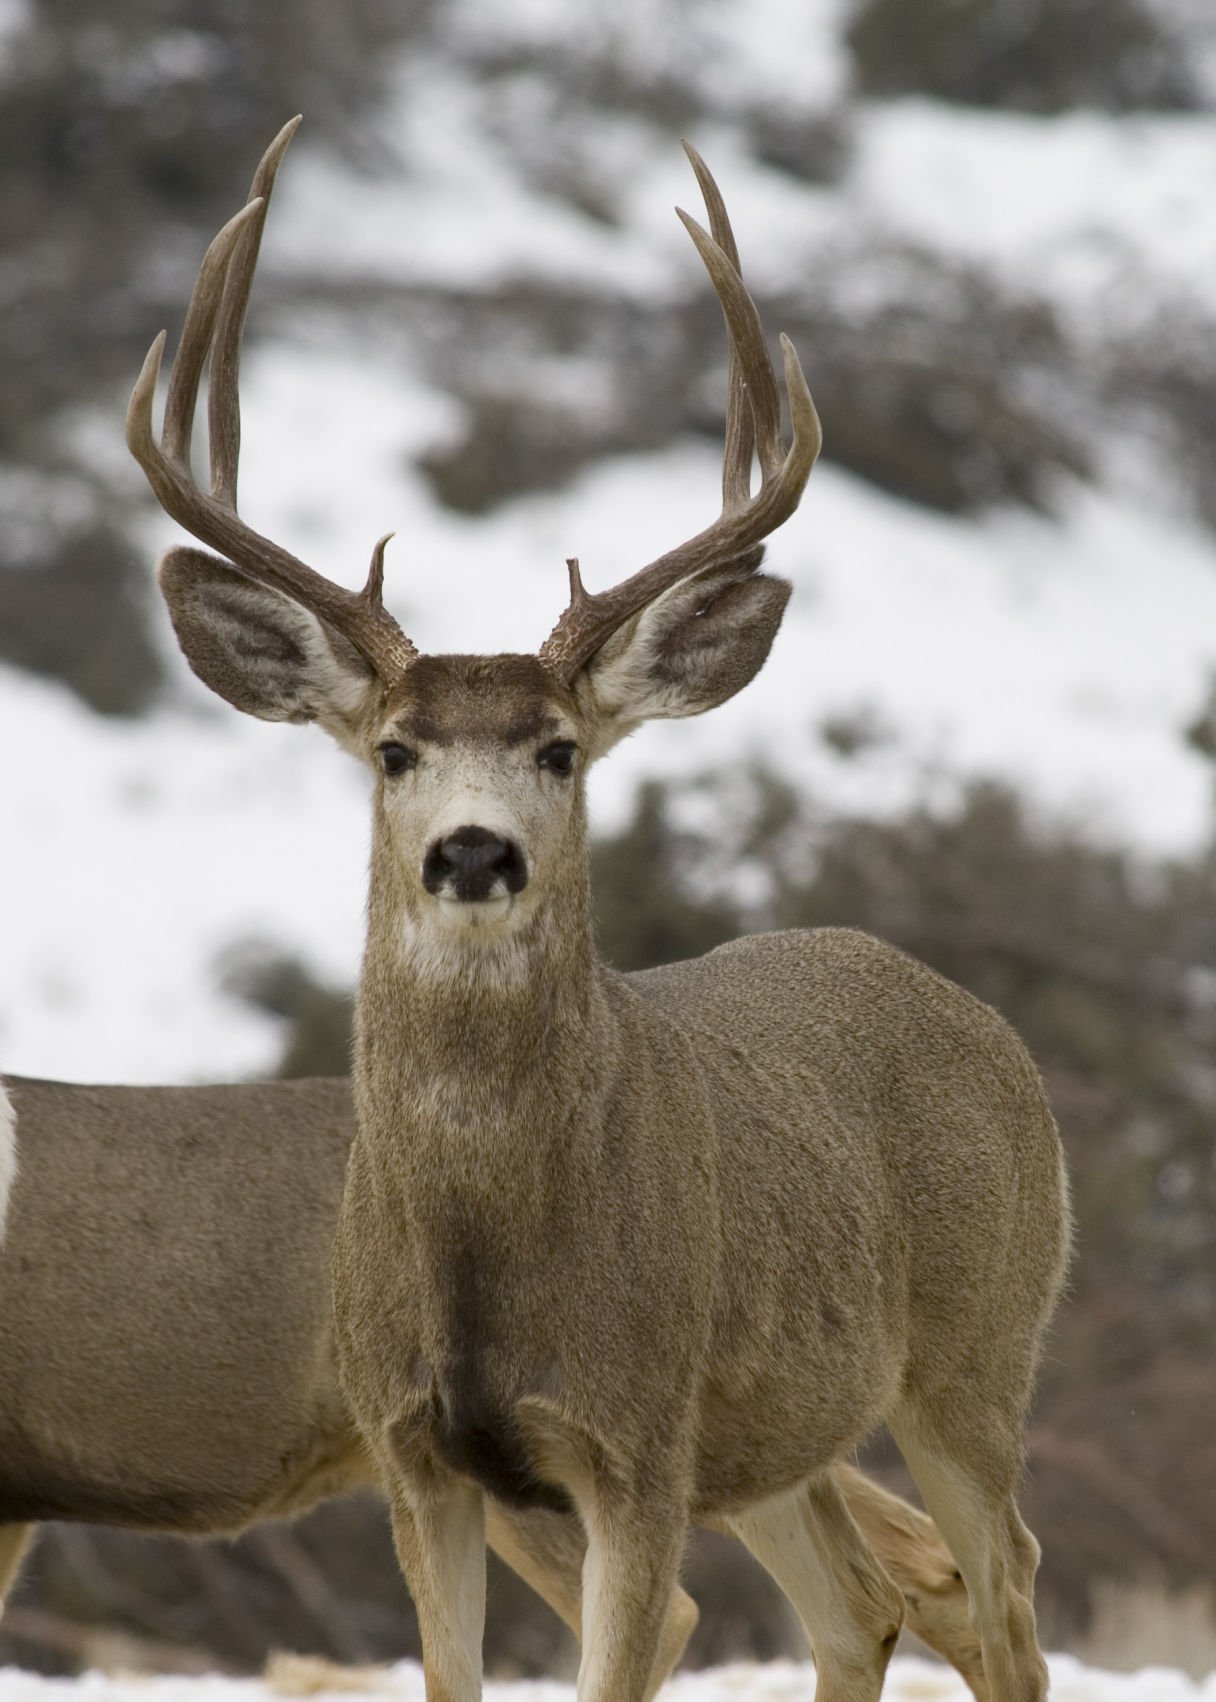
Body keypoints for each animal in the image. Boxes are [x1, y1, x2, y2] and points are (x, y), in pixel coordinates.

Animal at [123, 119, 1062, 1702]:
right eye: (396, 750)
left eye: (559, 748)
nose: (475, 853)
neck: (488, 1255)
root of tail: (987, 1028)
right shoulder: (417, 1454)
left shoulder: (633, 1439)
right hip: (778, 1430)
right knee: (859, 1602)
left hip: (977, 1347)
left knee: (1005, 1608)